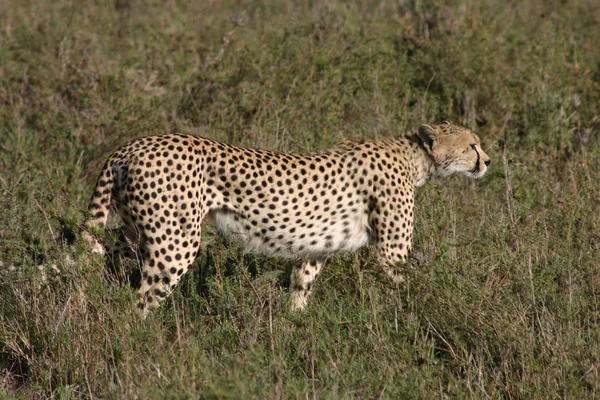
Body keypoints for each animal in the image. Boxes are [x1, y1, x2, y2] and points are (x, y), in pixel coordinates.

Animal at [82, 120, 490, 314]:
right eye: (472, 144)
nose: (487, 161)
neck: (415, 158)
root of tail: (130, 145)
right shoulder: (390, 253)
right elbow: (411, 284)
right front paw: (431, 308)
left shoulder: (317, 249)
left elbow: (300, 287)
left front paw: (295, 326)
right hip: (175, 241)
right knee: (143, 300)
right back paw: (142, 341)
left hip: (139, 229)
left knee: (92, 254)